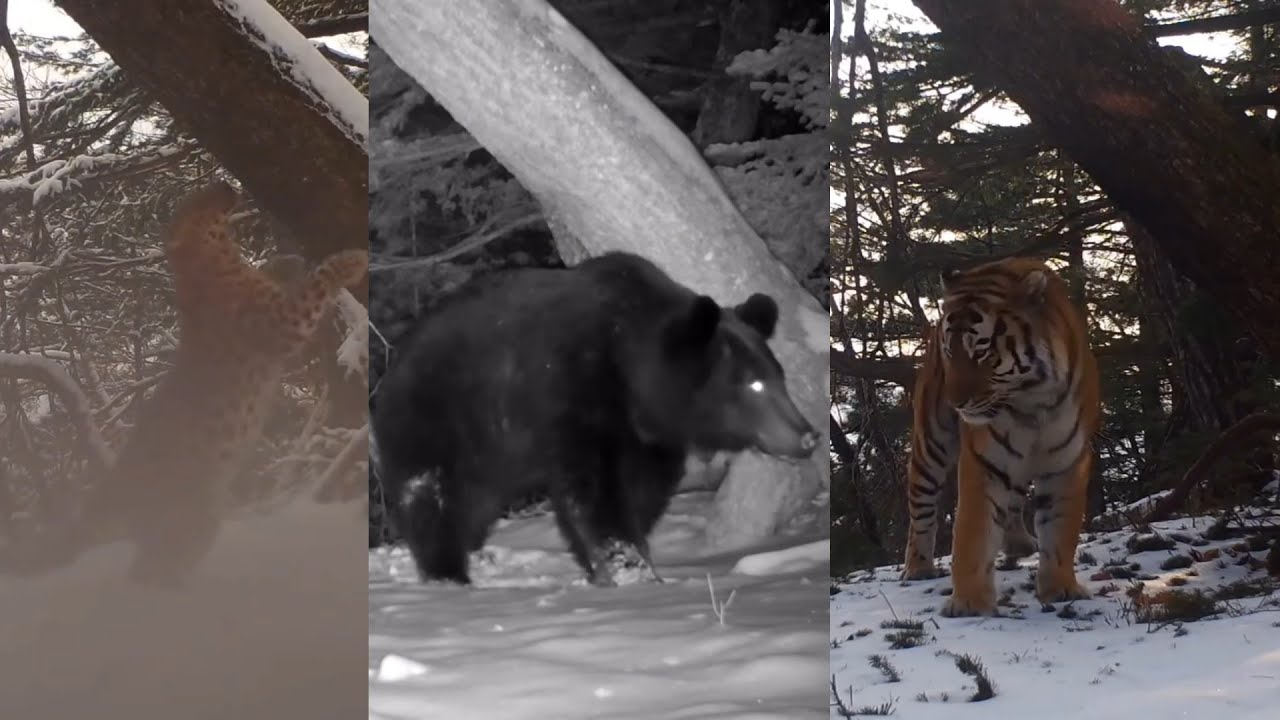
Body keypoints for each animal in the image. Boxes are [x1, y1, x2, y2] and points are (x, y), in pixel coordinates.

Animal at [370, 251, 819, 586]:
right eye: (753, 385)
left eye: (777, 376)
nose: (808, 435)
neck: (633, 376)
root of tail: (395, 357)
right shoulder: (574, 392)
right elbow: (592, 490)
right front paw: (628, 566)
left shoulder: (649, 437)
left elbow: (643, 491)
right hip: (441, 416)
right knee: (432, 493)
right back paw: (448, 573)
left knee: (476, 501)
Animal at [900, 257, 1100, 617]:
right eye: (949, 350)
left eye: (981, 352)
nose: (956, 402)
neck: (1033, 402)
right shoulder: (984, 461)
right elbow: (972, 532)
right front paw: (969, 603)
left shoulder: (1068, 461)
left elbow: (1060, 528)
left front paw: (1061, 588)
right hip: (931, 445)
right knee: (921, 507)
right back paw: (919, 567)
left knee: (1013, 502)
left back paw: (1019, 544)